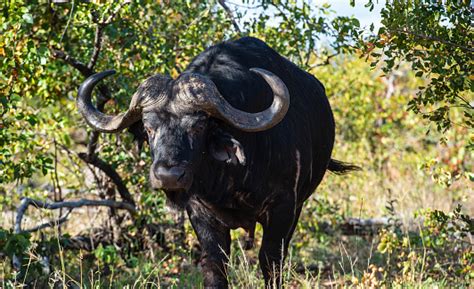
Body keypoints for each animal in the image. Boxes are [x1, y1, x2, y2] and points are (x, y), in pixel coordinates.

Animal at [78, 37, 358, 286]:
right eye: (148, 128)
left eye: (199, 125)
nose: (168, 176)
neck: (232, 177)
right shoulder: (199, 211)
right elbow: (214, 263)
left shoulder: (284, 207)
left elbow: (271, 261)